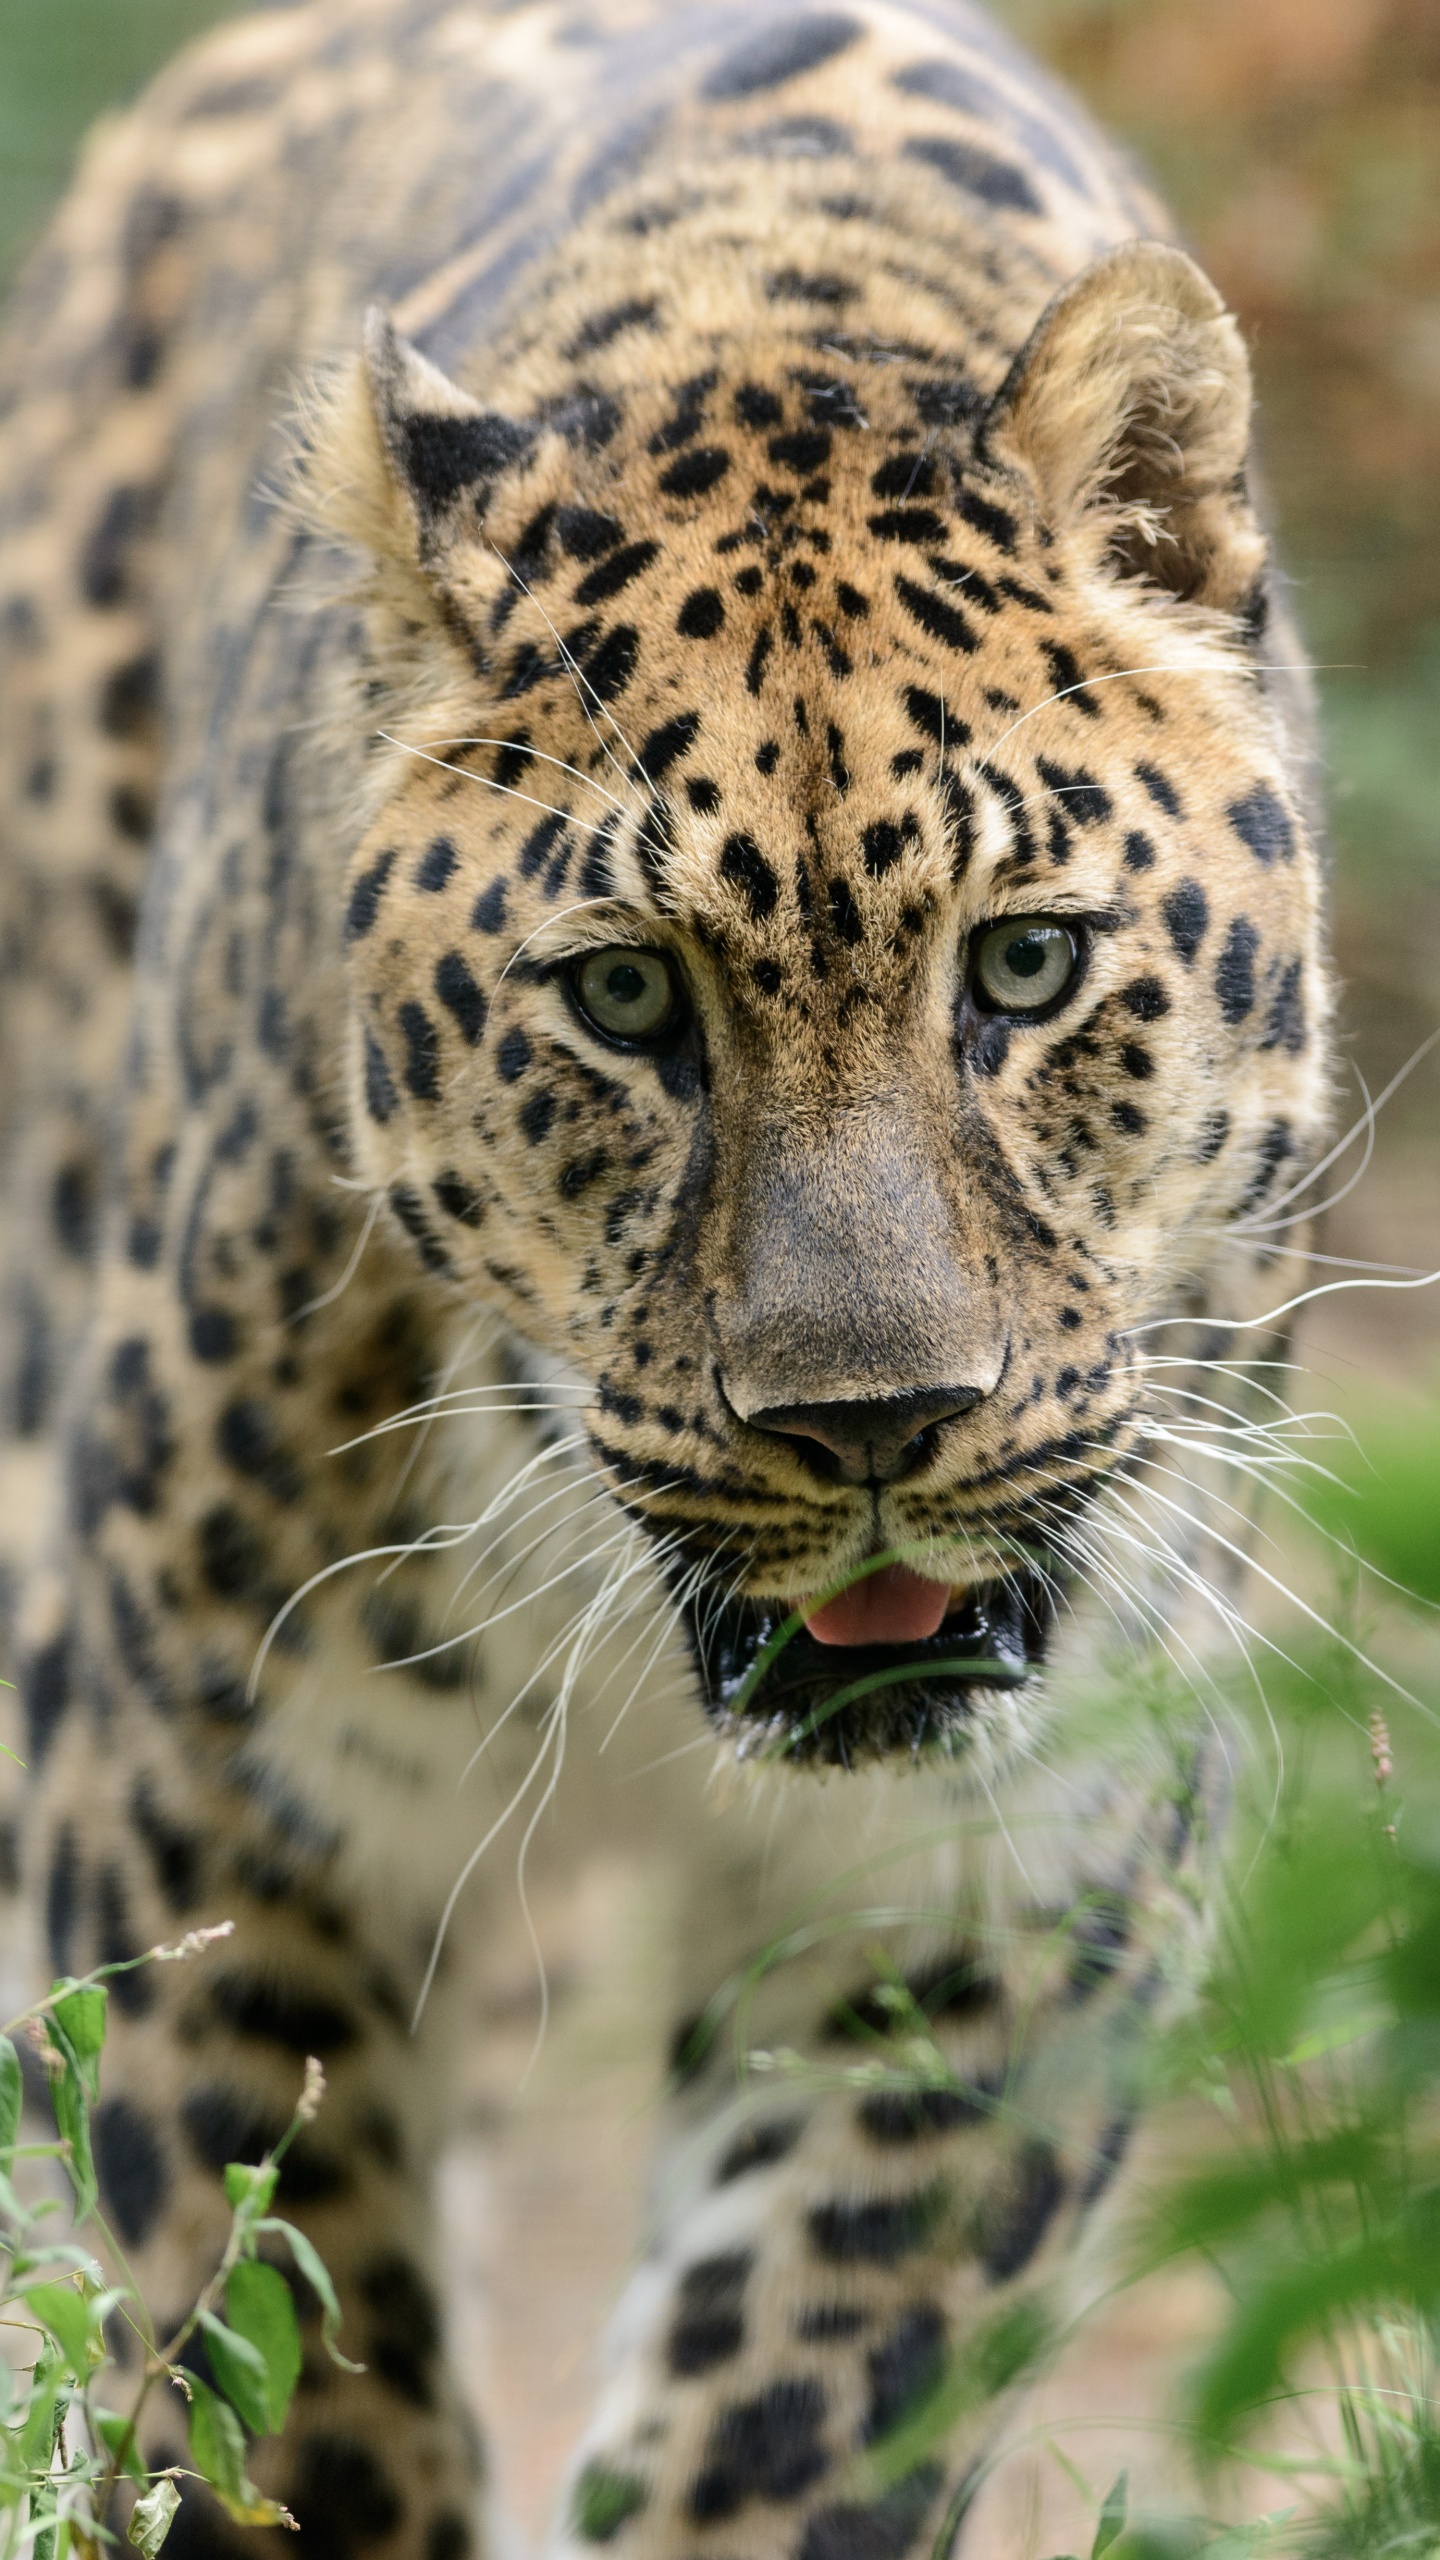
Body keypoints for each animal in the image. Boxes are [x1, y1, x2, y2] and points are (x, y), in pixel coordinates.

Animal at [0, 0, 1332, 2549]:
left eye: (1023, 965)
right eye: (625, 999)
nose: (872, 1426)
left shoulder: (1017, 1880)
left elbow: (808, 2404)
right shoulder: (196, 1783)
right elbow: (264, 2354)